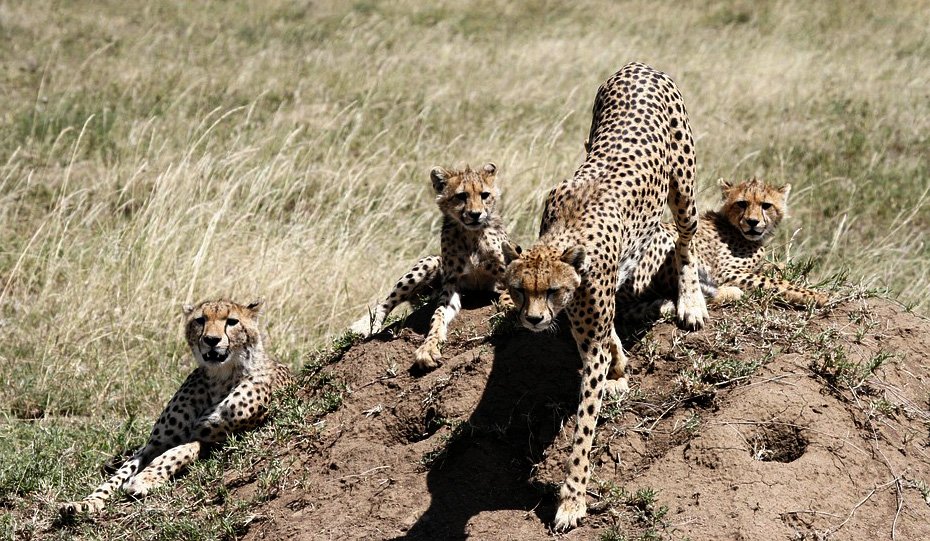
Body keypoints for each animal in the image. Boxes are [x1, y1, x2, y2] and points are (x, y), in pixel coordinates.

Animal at [59, 300, 290, 516]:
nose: (211, 340)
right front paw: (87, 502)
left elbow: (178, 452)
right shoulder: (154, 444)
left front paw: (144, 480)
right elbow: (118, 475)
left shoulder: (215, 440)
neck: (219, 378)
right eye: (200, 320)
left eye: (232, 321)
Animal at [352, 162, 516, 370]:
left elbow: (509, 292)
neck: (470, 234)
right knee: (386, 302)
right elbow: (437, 316)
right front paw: (429, 348)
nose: (475, 214)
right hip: (430, 262)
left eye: (484, 195)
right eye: (461, 196)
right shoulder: (452, 285)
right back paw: (366, 326)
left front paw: (509, 307)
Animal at [504, 62, 708, 528]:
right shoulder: (584, 326)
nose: (534, 320)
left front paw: (572, 499)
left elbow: (583, 425)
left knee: (685, 237)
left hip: (683, 186)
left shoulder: (589, 330)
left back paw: (689, 301)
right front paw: (619, 365)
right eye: (519, 290)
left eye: (552, 290)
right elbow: (604, 337)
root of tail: (638, 65)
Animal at [616, 175, 828, 318]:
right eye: (742, 203)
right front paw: (816, 295)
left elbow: (774, 267)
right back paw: (729, 293)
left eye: (766, 205)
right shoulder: (727, 272)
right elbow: (775, 282)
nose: (752, 222)